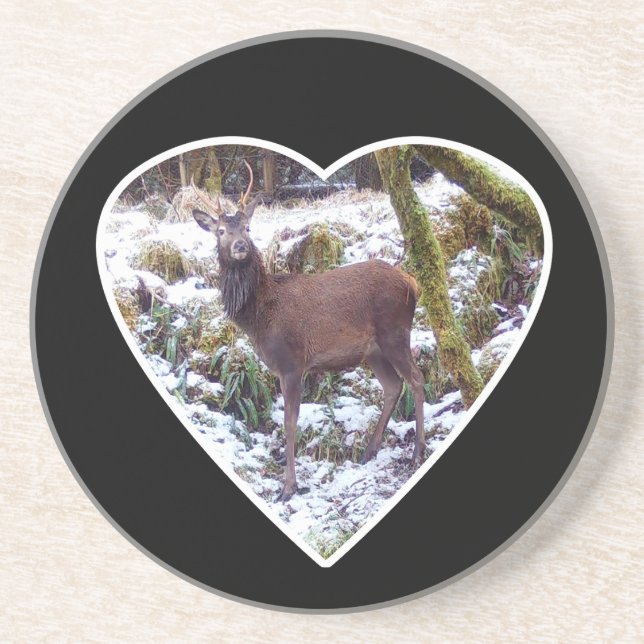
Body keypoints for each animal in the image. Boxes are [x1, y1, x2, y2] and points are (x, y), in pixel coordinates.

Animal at [191, 161, 426, 502]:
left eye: (247, 227)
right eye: (221, 231)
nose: (240, 246)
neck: (259, 318)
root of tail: (412, 282)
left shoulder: (292, 362)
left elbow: (290, 422)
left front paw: (288, 487)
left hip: (395, 332)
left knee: (417, 379)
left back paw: (418, 451)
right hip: (374, 350)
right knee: (393, 386)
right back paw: (369, 450)